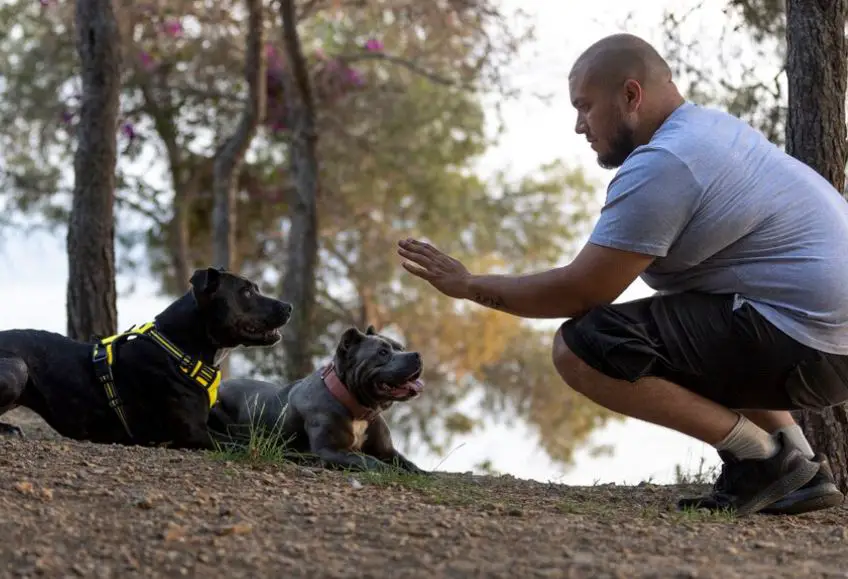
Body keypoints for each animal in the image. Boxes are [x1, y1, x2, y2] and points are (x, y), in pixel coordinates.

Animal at [0, 266, 292, 450]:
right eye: (246, 291)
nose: (289, 306)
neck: (179, 349)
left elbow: (247, 434)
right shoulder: (195, 433)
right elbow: (244, 443)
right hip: (18, 366)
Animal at [209, 324, 428, 474]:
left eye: (401, 348)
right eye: (382, 352)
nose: (417, 355)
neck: (358, 409)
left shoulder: (387, 451)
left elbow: (408, 463)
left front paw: (422, 473)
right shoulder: (329, 451)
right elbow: (369, 461)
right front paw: (394, 471)